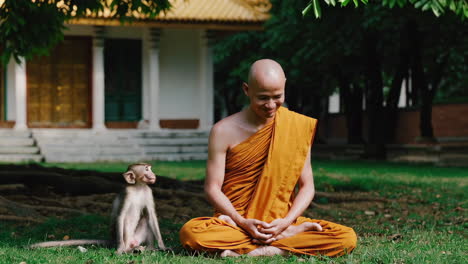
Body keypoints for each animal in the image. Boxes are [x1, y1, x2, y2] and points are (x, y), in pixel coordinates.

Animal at [28, 163, 167, 254]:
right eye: (146, 169)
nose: (153, 174)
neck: (138, 187)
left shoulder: (148, 191)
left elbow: (152, 216)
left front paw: (162, 246)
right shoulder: (127, 194)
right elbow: (120, 216)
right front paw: (120, 249)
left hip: (137, 237)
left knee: (146, 219)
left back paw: (149, 249)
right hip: (124, 237)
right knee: (125, 223)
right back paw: (130, 249)